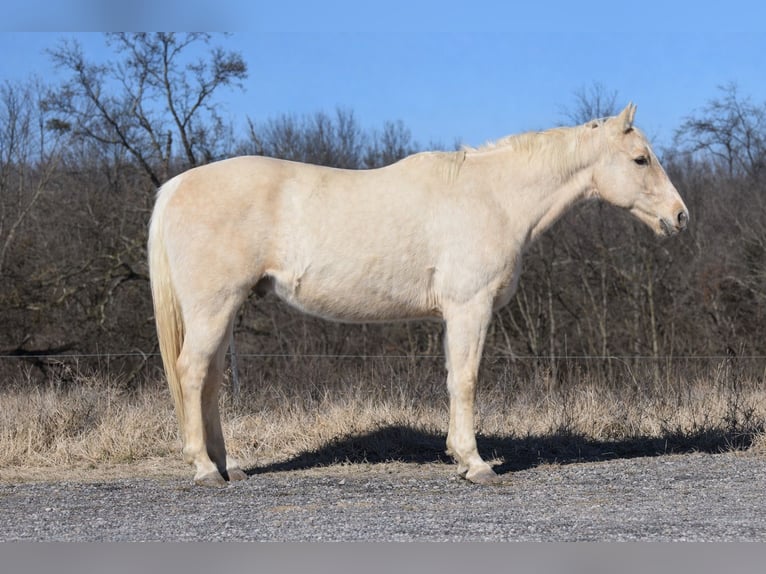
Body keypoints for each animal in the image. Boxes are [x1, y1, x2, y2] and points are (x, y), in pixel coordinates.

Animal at [148, 104, 688, 486]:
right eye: (641, 159)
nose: (680, 217)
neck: (494, 197)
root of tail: (174, 187)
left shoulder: (454, 315)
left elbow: (453, 379)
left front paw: (460, 457)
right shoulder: (470, 308)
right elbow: (466, 381)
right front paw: (476, 464)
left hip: (222, 311)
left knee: (210, 379)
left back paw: (229, 466)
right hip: (214, 306)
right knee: (192, 372)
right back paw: (204, 469)